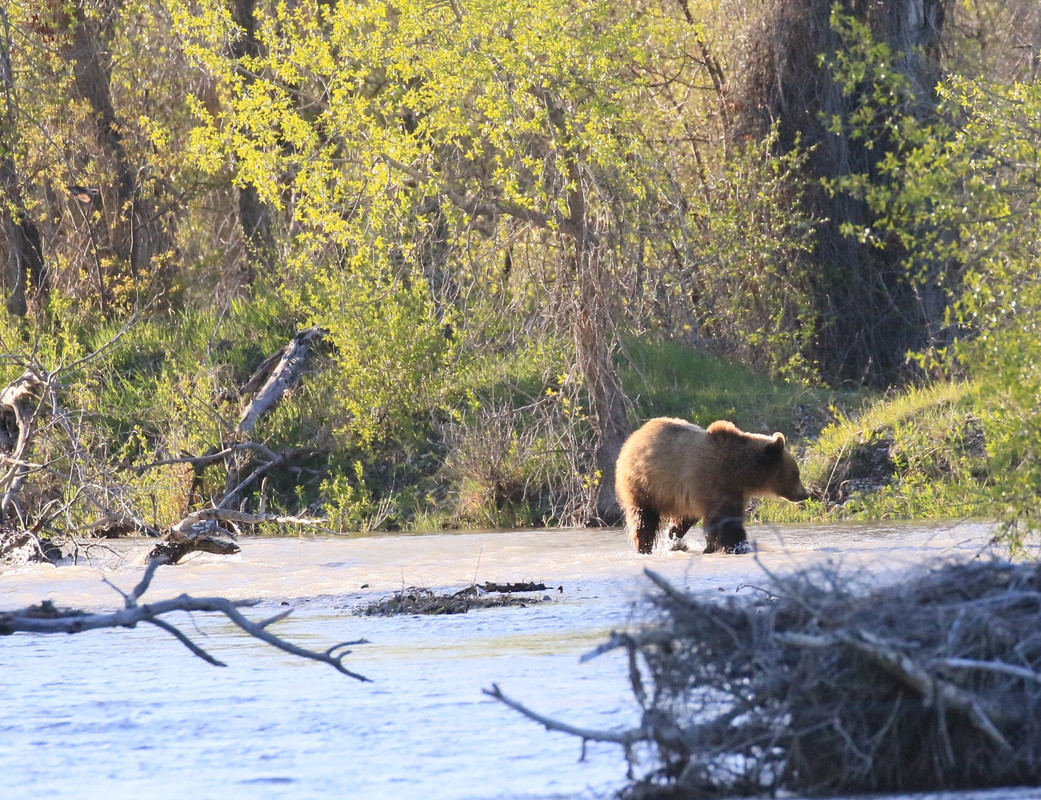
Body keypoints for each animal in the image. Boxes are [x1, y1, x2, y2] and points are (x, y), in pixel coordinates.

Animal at [614, 418, 809, 554]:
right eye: (796, 473)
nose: (805, 494)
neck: (741, 474)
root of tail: (634, 437)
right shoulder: (716, 484)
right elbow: (725, 522)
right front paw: (739, 546)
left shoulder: (732, 492)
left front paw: (711, 547)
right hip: (645, 485)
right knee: (643, 519)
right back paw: (644, 546)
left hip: (682, 497)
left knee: (682, 520)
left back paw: (675, 541)